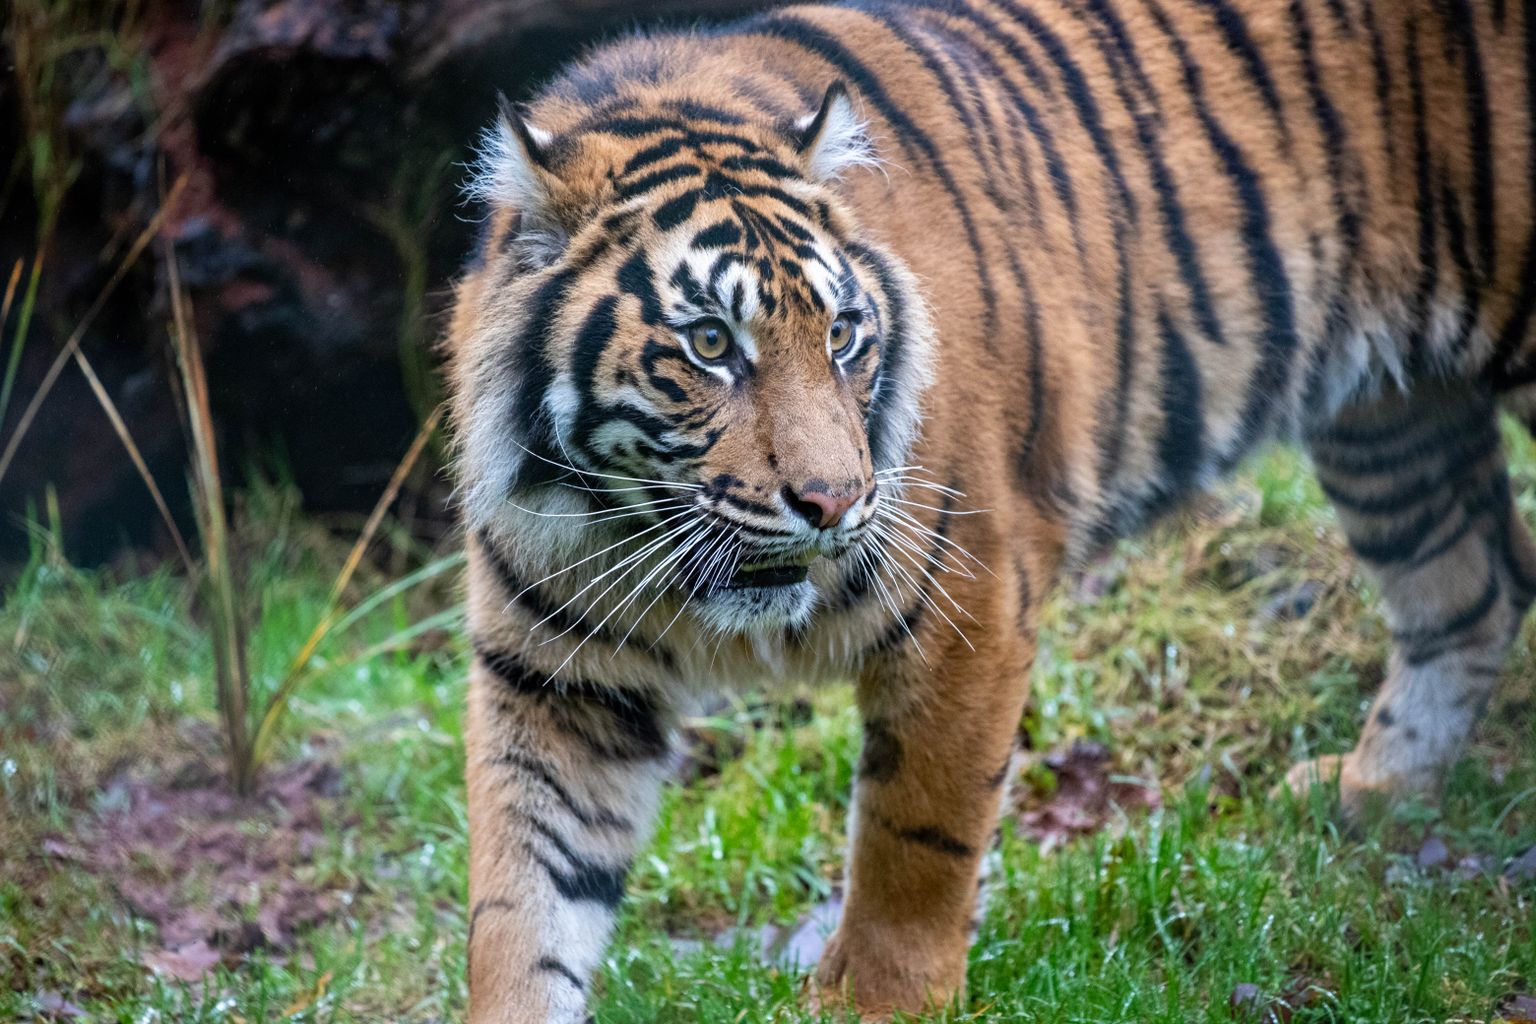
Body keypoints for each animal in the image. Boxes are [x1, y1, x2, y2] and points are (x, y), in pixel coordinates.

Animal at [448, 0, 1536, 1019]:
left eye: (842, 334)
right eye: (710, 343)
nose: (834, 503)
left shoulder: (966, 604)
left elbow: (916, 834)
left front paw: (876, 1003)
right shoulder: (552, 677)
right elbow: (521, 898)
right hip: (1389, 413)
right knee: (1473, 589)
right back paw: (1371, 797)